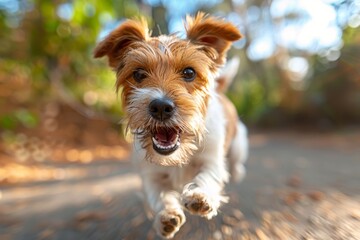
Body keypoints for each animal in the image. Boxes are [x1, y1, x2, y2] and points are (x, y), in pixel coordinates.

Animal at [94, 12, 249, 239]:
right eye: (138, 74)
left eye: (189, 73)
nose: (160, 106)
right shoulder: (151, 176)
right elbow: (159, 196)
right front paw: (166, 216)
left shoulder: (211, 160)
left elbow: (208, 176)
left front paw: (201, 195)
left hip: (238, 144)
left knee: (237, 162)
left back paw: (237, 172)